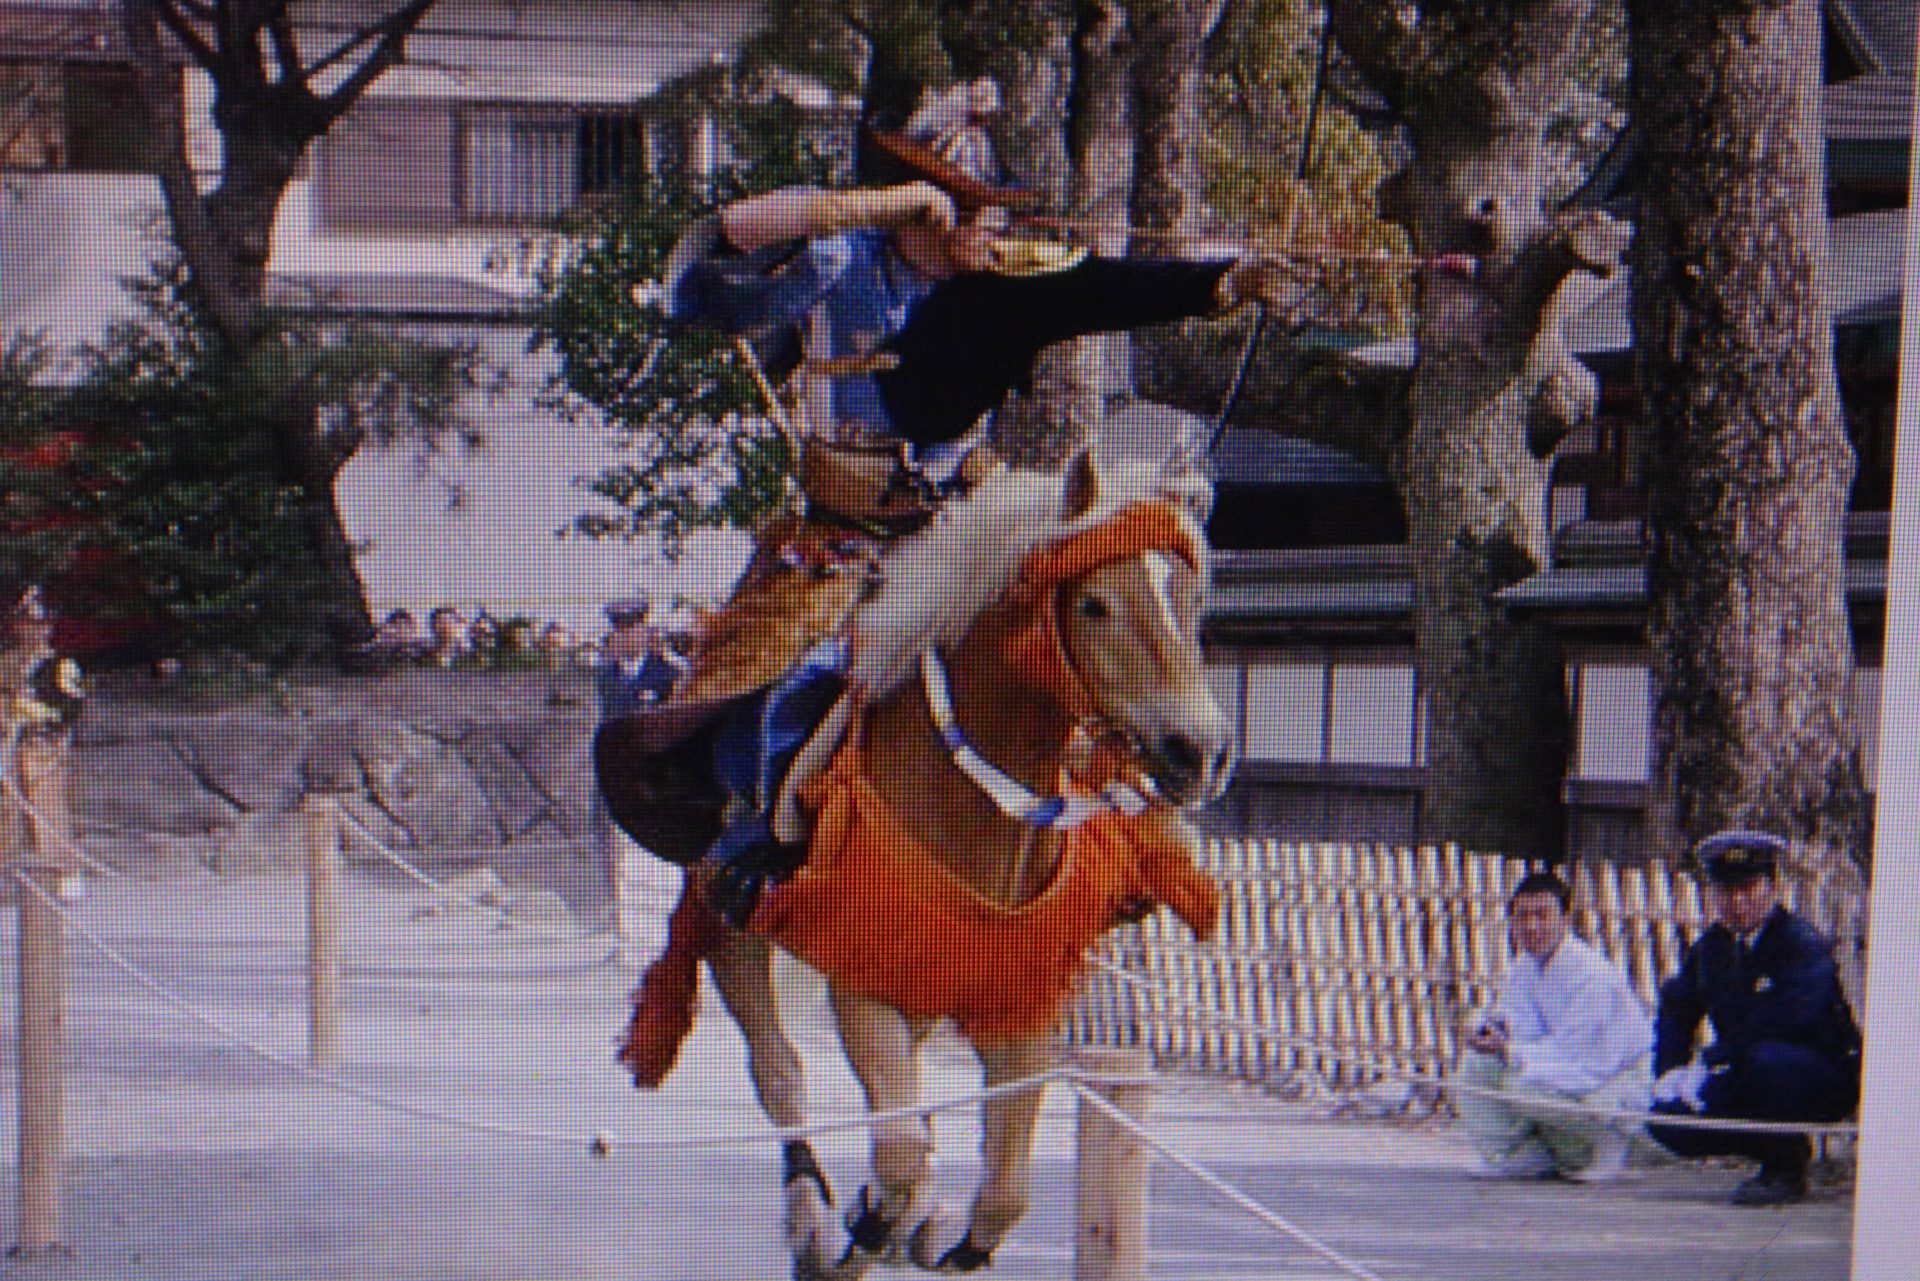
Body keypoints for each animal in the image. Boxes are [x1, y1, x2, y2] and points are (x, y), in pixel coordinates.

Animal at [622, 455, 1236, 1275]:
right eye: (1094, 605)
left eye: (1192, 601)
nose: (1197, 751)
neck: (974, 807)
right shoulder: (864, 982)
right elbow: (900, 1153)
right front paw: (867, 1224)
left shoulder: (1018, 1000)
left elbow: (1003, 1192)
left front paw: (936, 1231)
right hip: (730, 927)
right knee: (780, 1073)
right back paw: (815, 1221)